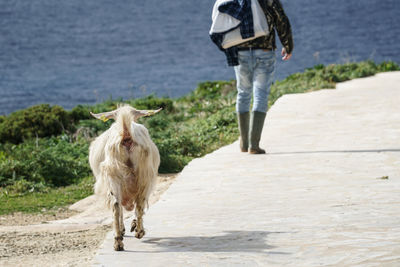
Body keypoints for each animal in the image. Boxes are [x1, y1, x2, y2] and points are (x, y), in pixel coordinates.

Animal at [89, 104, 161, 251]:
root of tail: (126, 134)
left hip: (114, 173)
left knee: (117, 205)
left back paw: (118, 241)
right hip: (143, 175)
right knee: (136, 203)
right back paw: (138, 232)